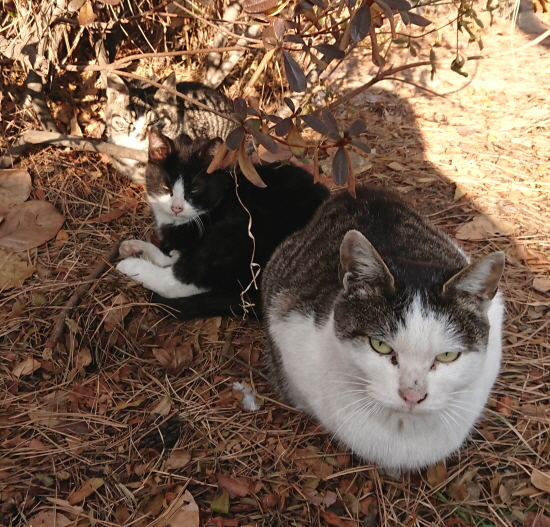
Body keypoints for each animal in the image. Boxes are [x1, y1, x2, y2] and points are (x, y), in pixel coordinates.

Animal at [116, 131, 330, 322]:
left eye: (195, 189)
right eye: (165, 186)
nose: (176, 207)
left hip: (239, 233)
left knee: (182, 279)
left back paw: (132, 265)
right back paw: (135, 248)